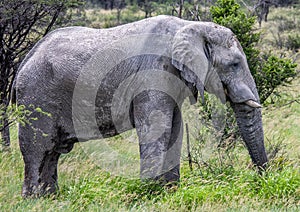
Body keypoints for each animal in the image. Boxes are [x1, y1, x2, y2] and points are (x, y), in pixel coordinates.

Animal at [14, 14, 268, 197]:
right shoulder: (153, 71)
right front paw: (149, 192)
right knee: (38, 149)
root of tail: (26, 59)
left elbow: (175, 128)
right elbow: (157, 128)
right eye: (234, 64)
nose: (264, 178)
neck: (191, 26)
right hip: (35, 97)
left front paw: (169, 191)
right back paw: (33, 200)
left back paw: (50, 198)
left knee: (52, 153)